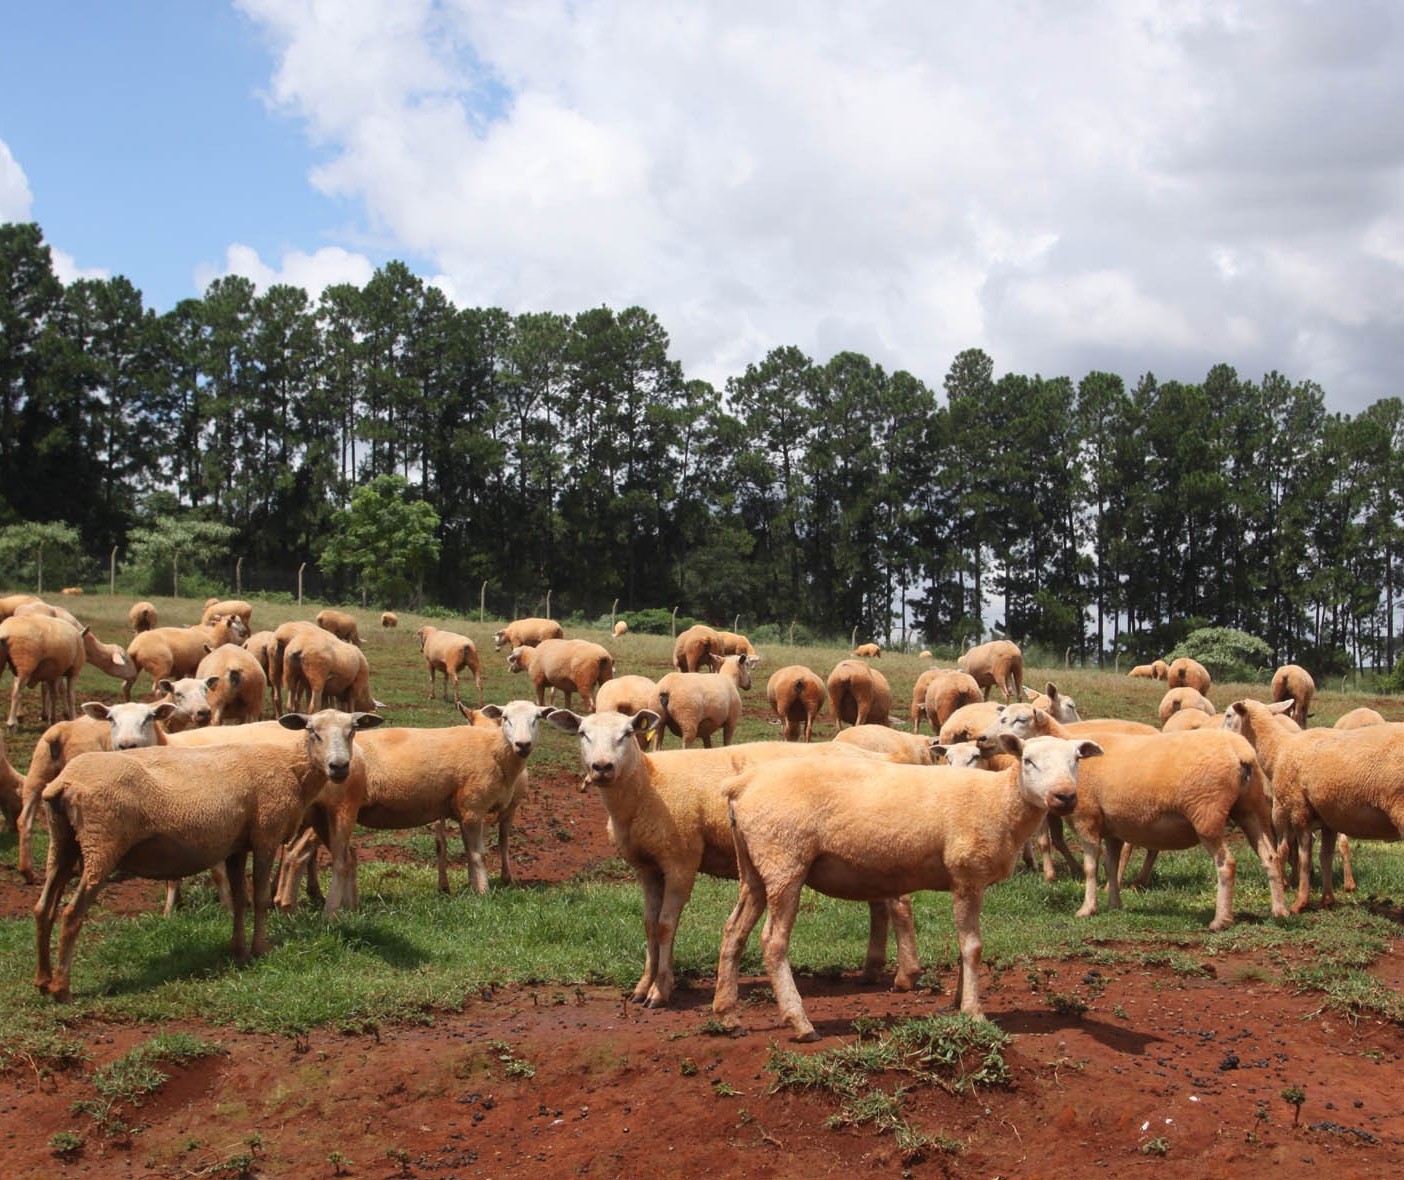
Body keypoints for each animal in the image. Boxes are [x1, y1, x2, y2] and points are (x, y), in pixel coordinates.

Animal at [34, 705, 384, 1000]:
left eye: (353, 730)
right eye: (312, 731)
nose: (339, 767)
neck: (291, 768)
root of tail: (66, 782)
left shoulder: (236, 845)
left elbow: (240, 900)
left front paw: (239, 951)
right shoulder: (265, 836)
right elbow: (259, 898)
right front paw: (261, 948)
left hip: (62, 843)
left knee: (43, 908)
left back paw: (42, 980)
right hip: (101, 843)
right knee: (71, 913)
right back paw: (61, 988)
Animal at [541, 705, 915, 1011]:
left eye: (627, 734)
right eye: (583, 733)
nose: (601, 767)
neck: (648, 785)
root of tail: (880, 757)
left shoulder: (681, 860)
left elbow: (665, 925)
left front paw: (660, 991)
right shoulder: (646, 867)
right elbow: (648, 924)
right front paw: (641, 987)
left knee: (899, 903)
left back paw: (905, 976)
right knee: (880, 904)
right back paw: (870, 970)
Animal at [718, 730, 1100, 1039]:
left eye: (1075, 760)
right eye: (1028, 760)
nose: (1065, 797)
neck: (999, 802)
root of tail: (741, 785)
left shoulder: (965, 882)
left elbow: (963, 944)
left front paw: (958, 1001)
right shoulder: (967, 875)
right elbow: (973, 947)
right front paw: (973, 1012)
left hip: (754, 868)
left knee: (734, 931)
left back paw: (727, 1014)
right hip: (785, 860)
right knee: (773, 942)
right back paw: (799, 1022)